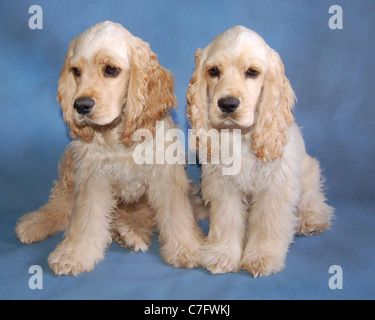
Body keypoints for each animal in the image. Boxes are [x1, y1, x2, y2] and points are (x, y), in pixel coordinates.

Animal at [15, 20, 203, 276]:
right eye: (76, 72)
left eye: (111, 70)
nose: (80, 106)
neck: (117, 134)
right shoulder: (92, 177)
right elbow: (86, 218)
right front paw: (74, 254)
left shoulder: (165, 174)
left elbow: (177, 214)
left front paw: (186, 248)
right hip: (69, 161)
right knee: (62, 202)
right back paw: (36, 223)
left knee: (141, 215)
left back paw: (129, 233)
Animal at [188, 26, 334, 276]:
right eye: (213, 71)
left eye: (253, 72)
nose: (227, 104)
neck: (240, 136)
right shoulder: (223, 184)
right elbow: (226, 220)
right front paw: (222, 255)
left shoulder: (276, 185)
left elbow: (268, 222)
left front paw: (261, 258)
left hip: (309, 171)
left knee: (313, 199)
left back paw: (310, 221)